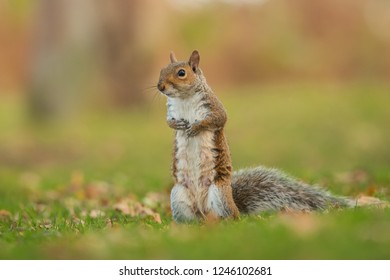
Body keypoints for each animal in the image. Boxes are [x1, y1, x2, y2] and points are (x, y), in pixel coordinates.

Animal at [157, 49, 352, 222]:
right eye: (161, 70)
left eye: (181, 73)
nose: (160, 86)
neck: (184, 98)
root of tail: (205, 215)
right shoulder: (171, 110)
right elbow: (168, 121)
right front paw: (177, 125)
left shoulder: (213, 107)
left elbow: (218, 119)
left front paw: (195, 127)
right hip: (178, 195)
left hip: (219, 195)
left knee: (231, 218)